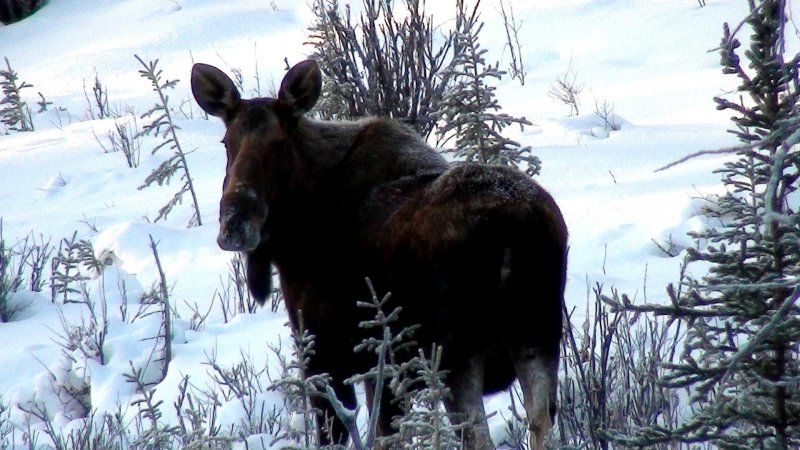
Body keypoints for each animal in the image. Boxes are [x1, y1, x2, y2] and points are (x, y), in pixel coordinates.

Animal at [193, 60, 568, 450]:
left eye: (280, 143)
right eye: (227, 142)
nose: (235, 224)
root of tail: (517, 230)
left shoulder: (327, 355)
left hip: (458, 354)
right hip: (539, 335)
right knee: (541, 424)